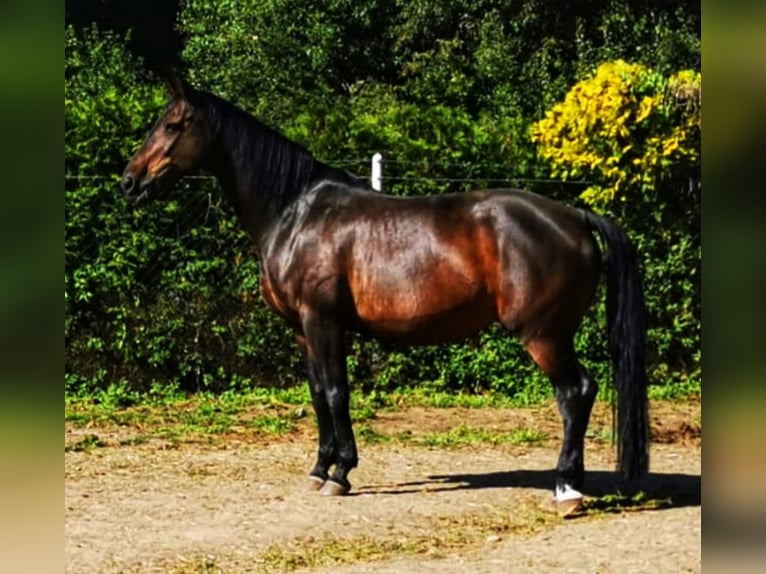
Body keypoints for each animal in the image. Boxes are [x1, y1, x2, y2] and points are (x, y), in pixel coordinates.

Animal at [123, 75, 652, 516]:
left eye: (173, 124)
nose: (130, 180)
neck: (296, 212)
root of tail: (575, 216)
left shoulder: (323, 321)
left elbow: (336, 392)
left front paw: (340, 474)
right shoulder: (303, 330)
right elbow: (317, 394)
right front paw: (319, 469)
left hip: (543, 334)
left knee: (576, 392)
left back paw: (566, 489)